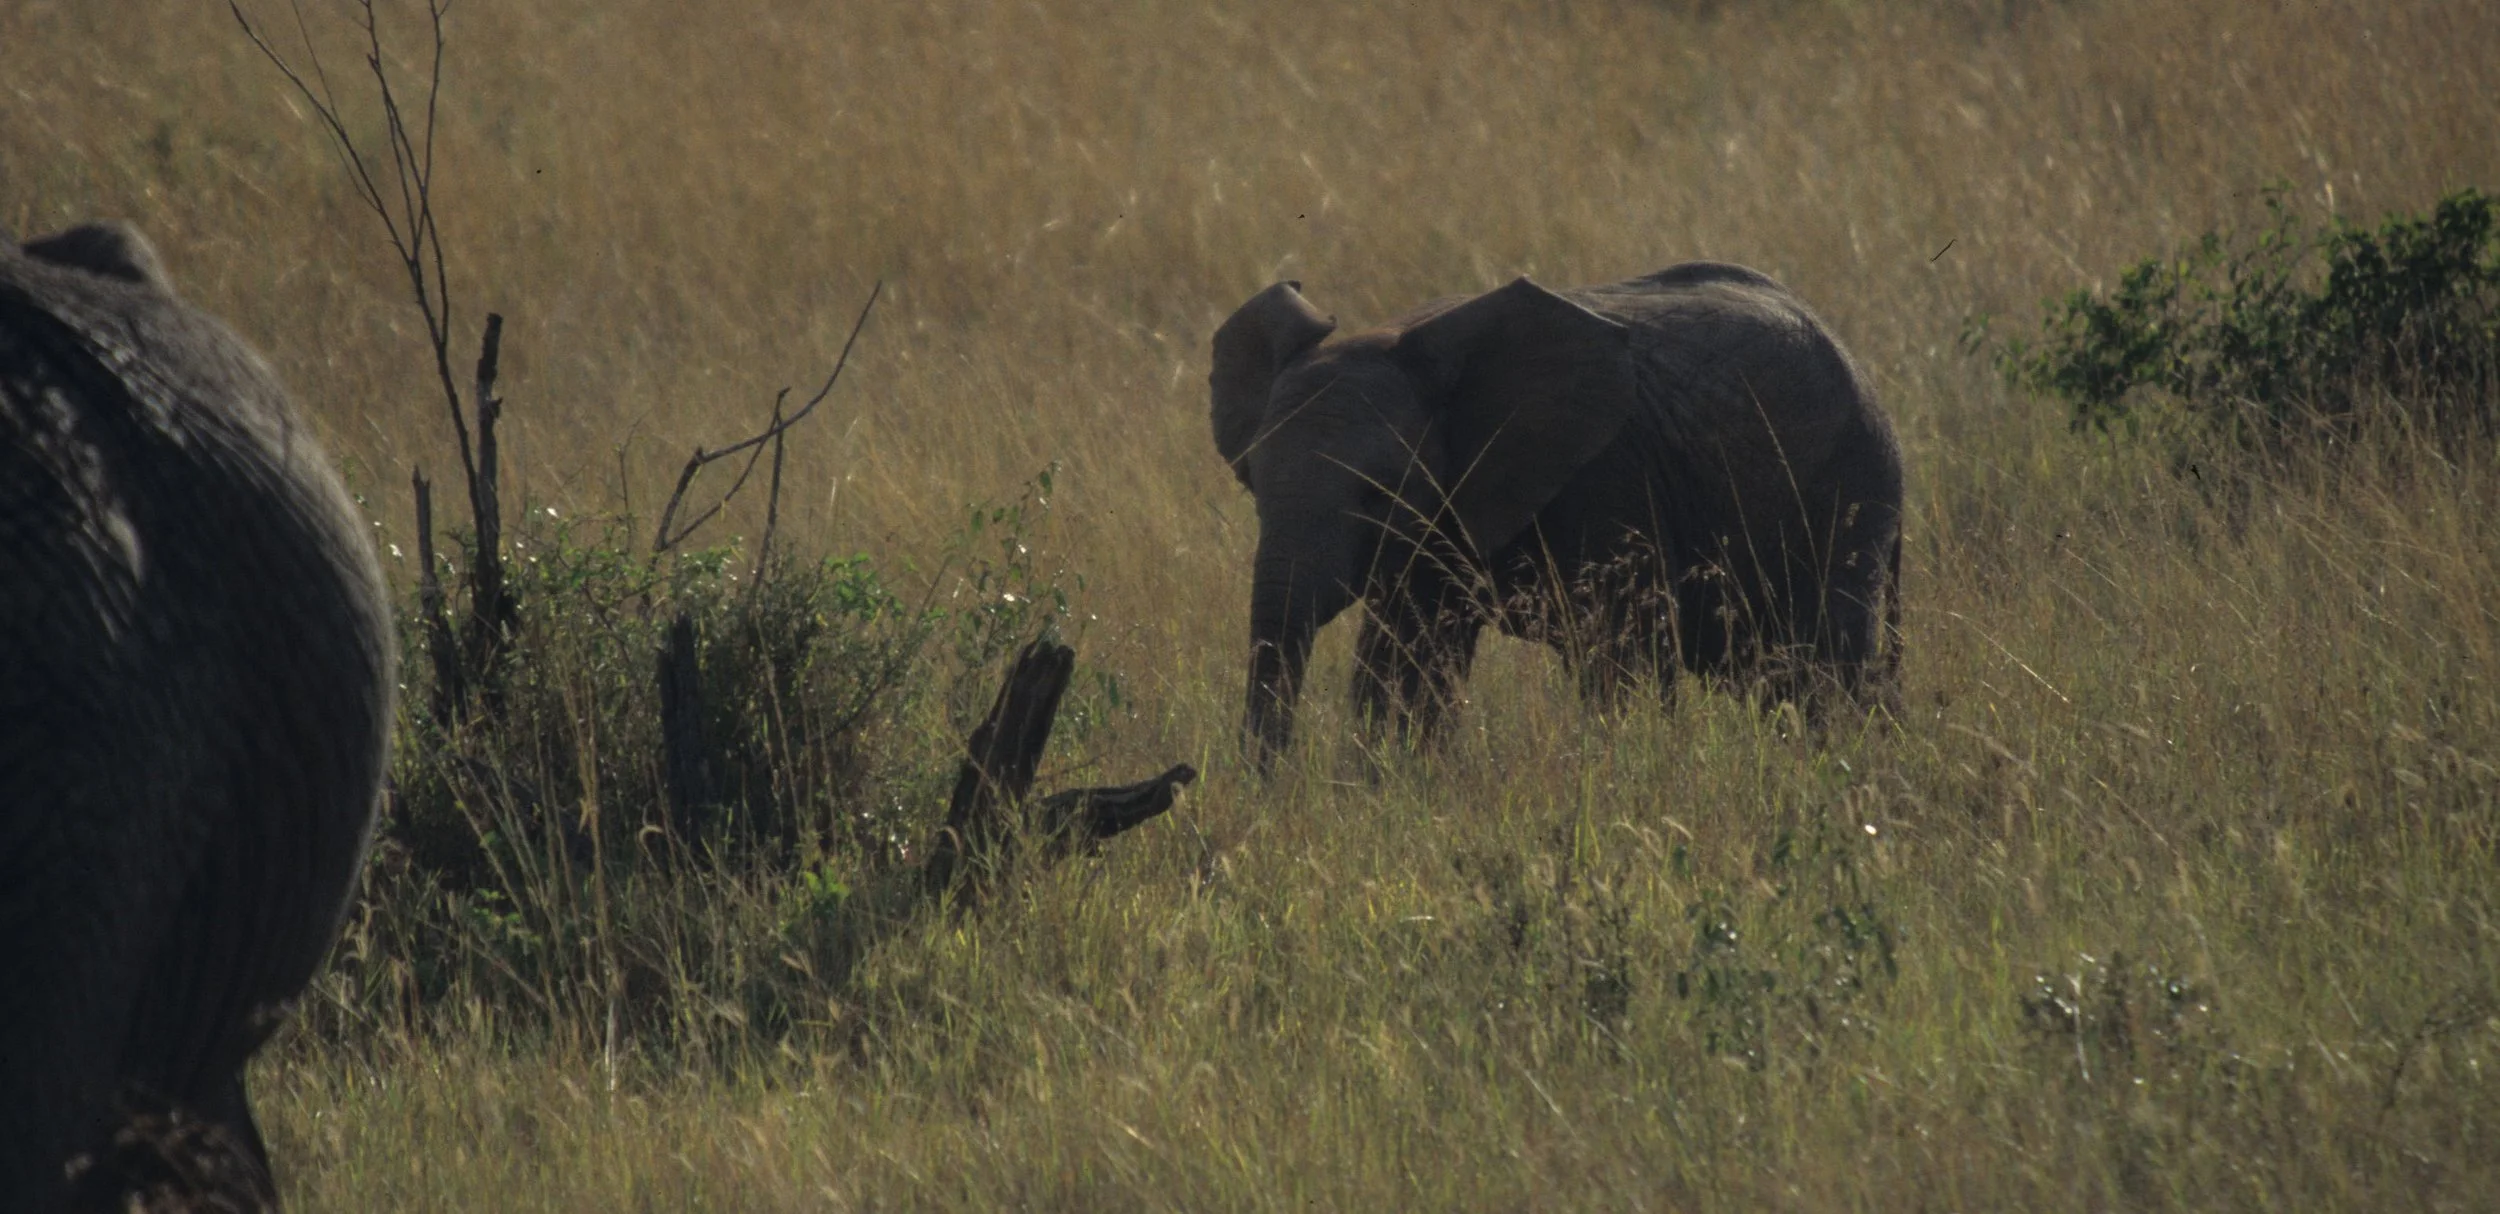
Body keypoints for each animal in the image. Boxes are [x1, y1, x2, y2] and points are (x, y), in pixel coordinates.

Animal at [1209, 262, 1903, 770]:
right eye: (1253, 486)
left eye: (1380, 493)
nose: (1271, 784)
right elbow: (1409, 660)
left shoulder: (1608, 478)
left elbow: (1623, 658)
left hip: (1851, 485)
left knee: (1825, 667)